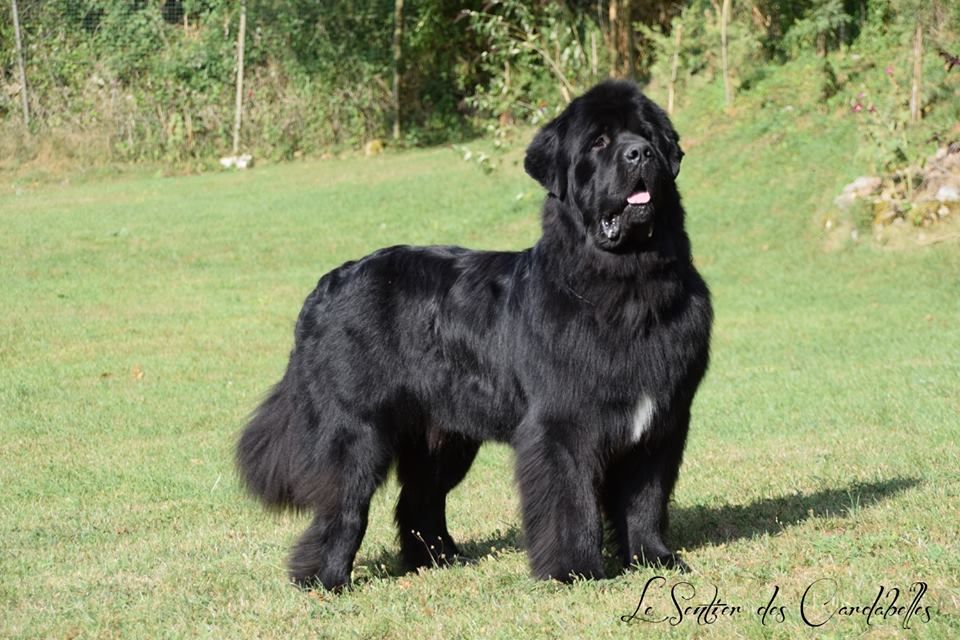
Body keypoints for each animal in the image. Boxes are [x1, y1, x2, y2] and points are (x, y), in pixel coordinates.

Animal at [235, 80, 708, 592]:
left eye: (647, 135)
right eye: (599, 142)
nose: (639, 153)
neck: (627, 289)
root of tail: (328, 283)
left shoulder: (663, 421)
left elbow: (645, 499)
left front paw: (655, 560)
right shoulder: (561, 424)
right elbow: (570, 502)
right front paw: (573, 570)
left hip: (444, 436)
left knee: (419, 499)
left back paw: (437, 559)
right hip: (356, 426)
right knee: (342, 503)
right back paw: (324, 579)